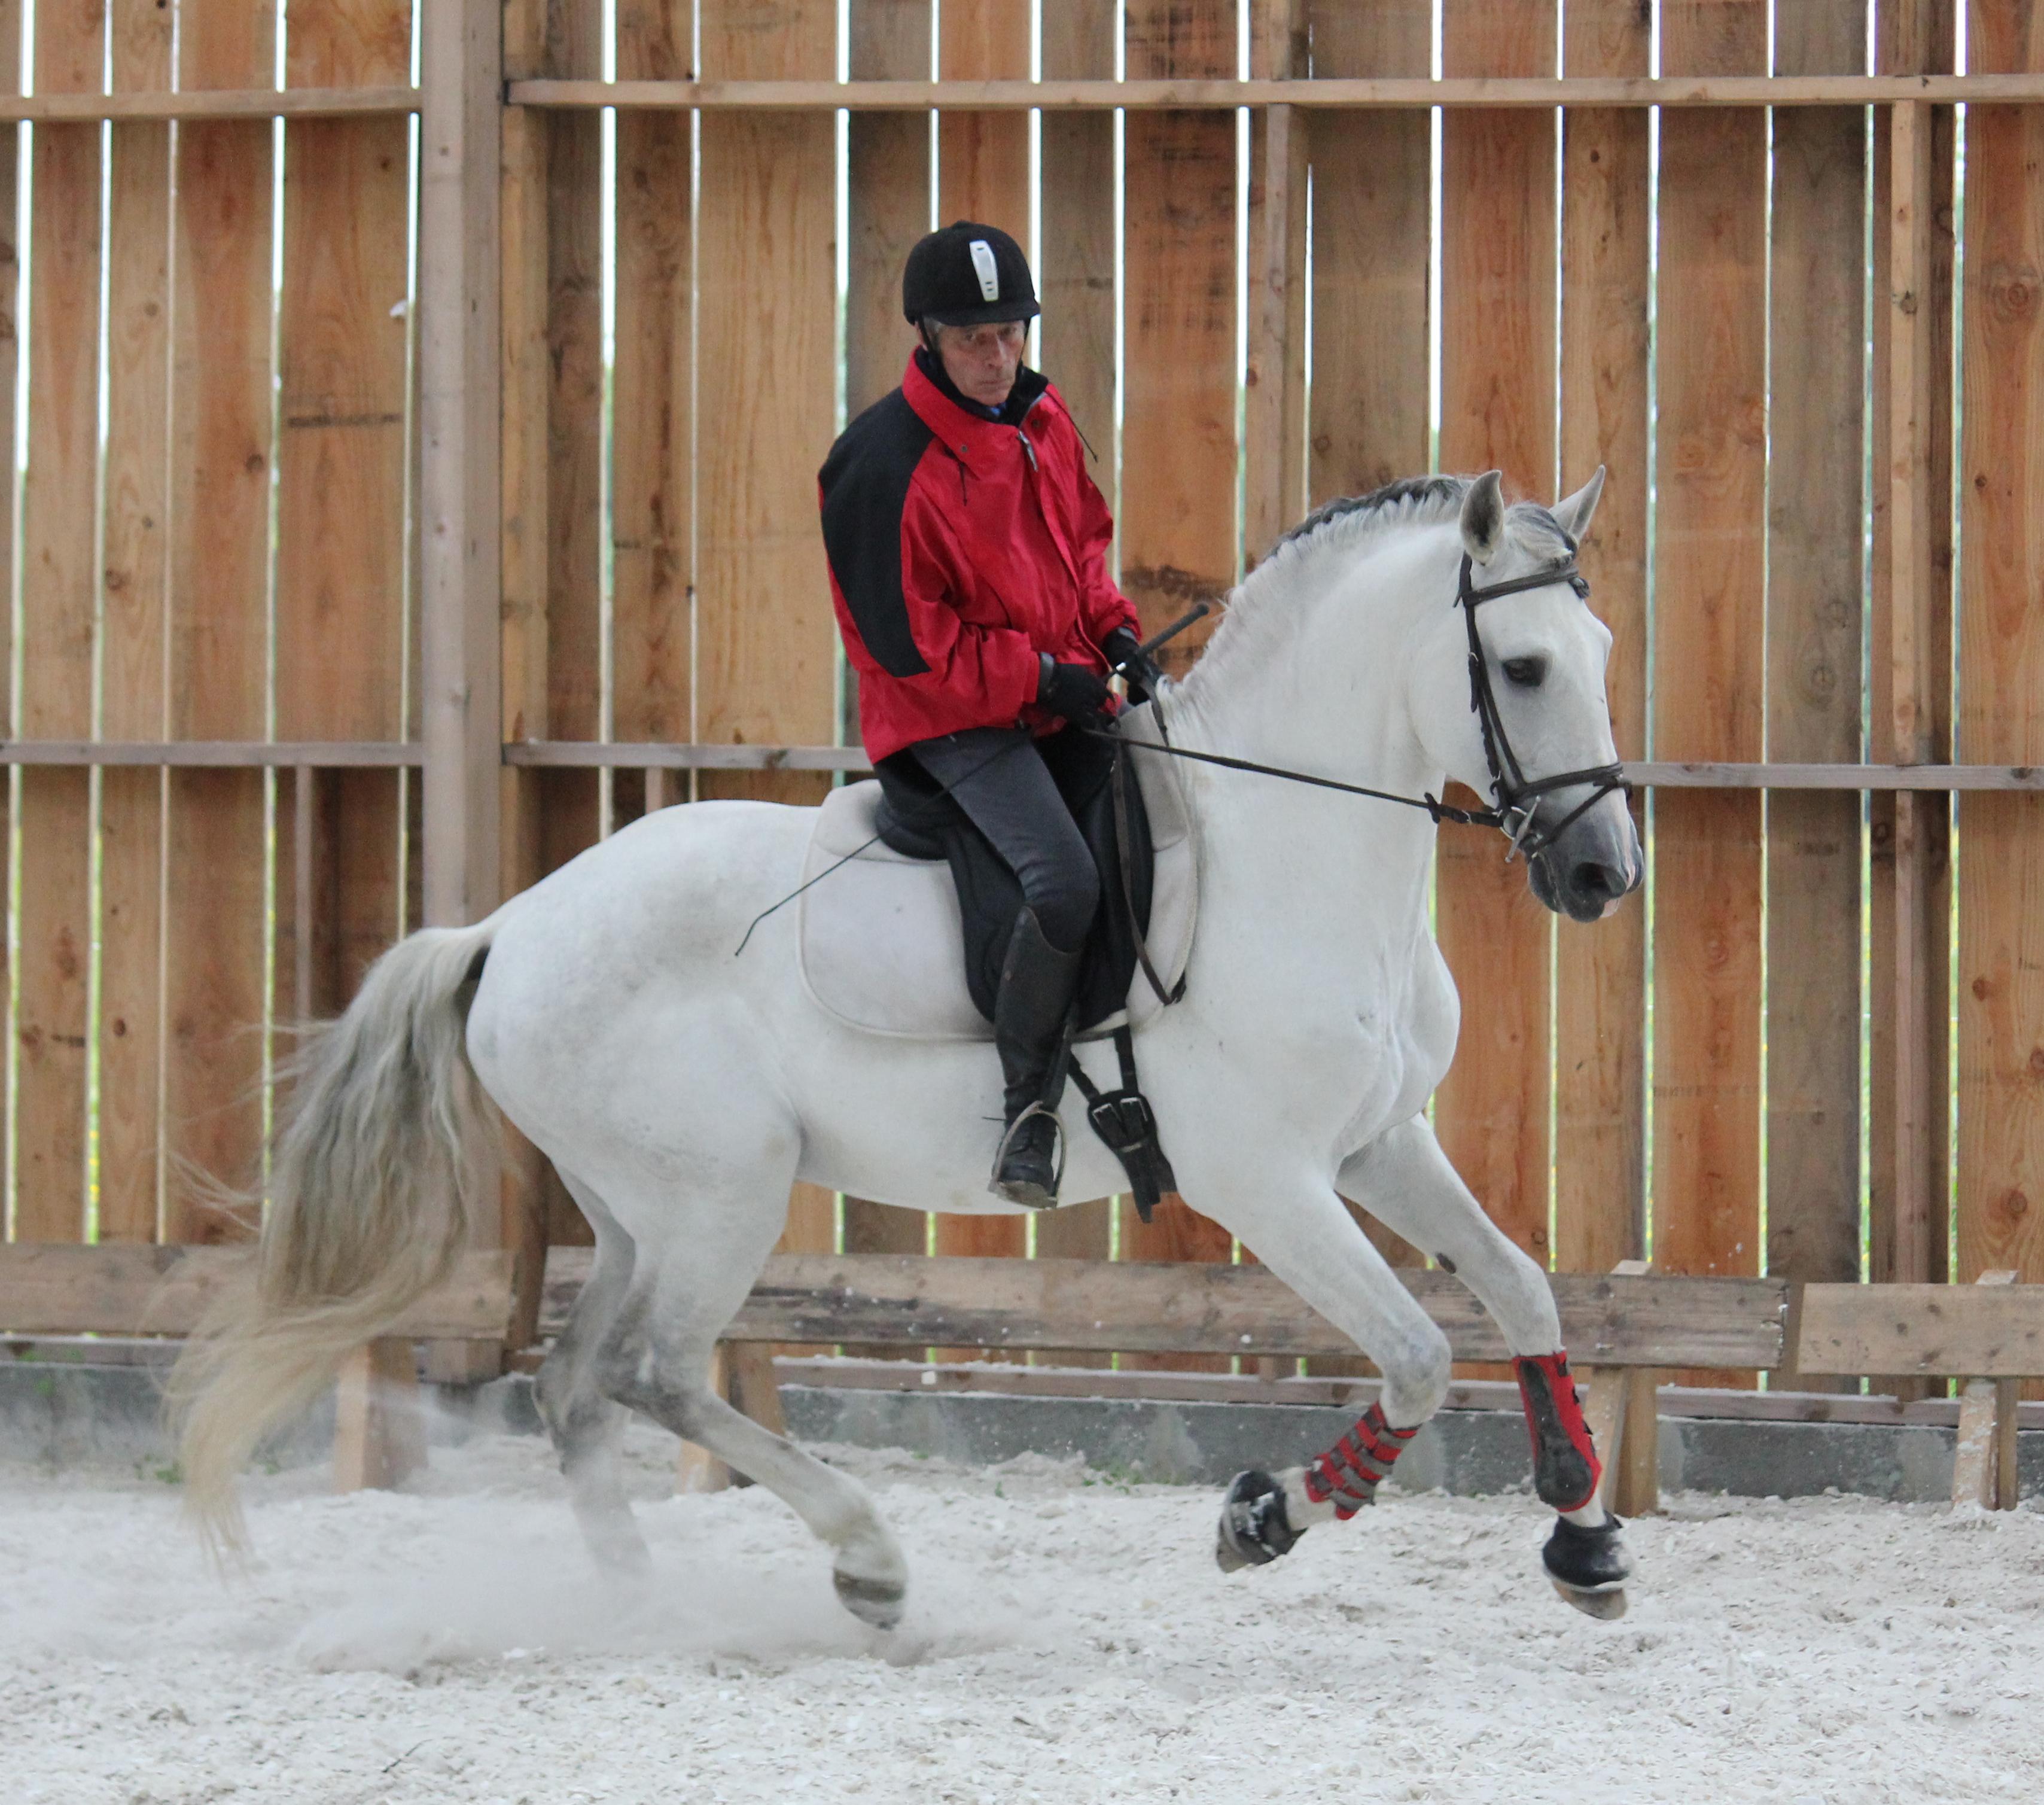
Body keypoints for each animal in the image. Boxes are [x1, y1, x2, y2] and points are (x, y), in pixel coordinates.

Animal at [175, 472, 1643, 1627]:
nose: (1600, 874)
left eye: (1600, 647)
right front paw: (1262, 1517)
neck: (1288, 850)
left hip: (641, 1207)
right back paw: (866, 1561)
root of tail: (510, 925)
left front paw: (1581, 1530)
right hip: (720, 1194)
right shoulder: (1271, 1181)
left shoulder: (1378, 1142)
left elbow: (1522, 1290)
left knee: (576, 1384)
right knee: (653, 1372)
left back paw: (651, 1606)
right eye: (1522, 668)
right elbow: (1418, 1352)